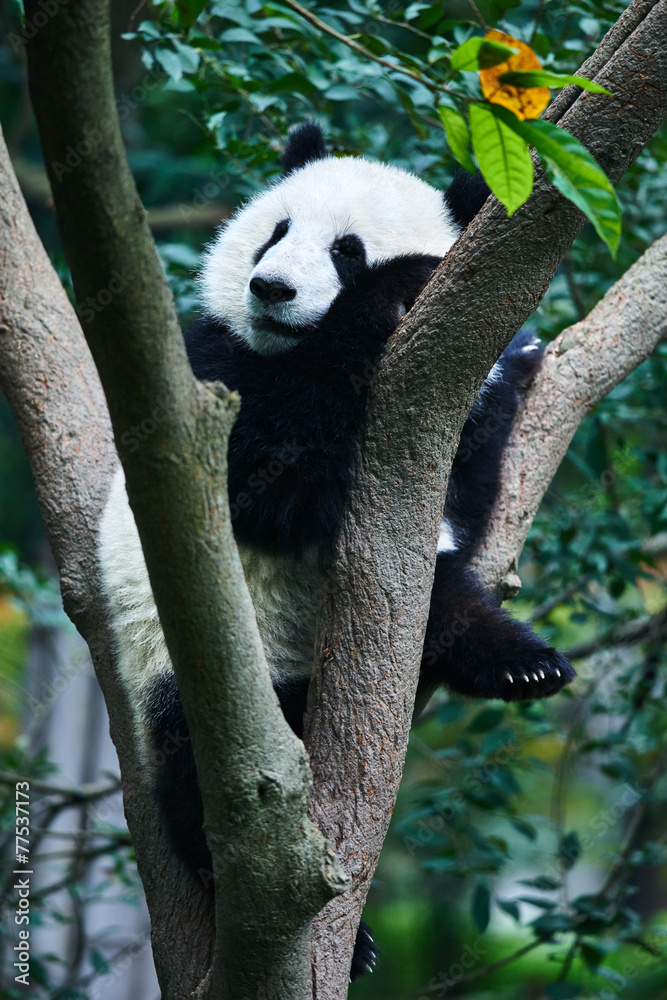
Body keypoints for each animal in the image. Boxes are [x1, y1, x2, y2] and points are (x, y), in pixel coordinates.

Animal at [99, 122, 575, 980]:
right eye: (275, 232)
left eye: (346, 250)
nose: (271, 289)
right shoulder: (201, 381)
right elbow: (272, 468)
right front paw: (399, 290)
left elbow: (466, 497)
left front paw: (518, 363)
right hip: (197, 677)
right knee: (201, 785)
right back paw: (337, 936)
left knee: (441, 600)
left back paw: (519, 665)